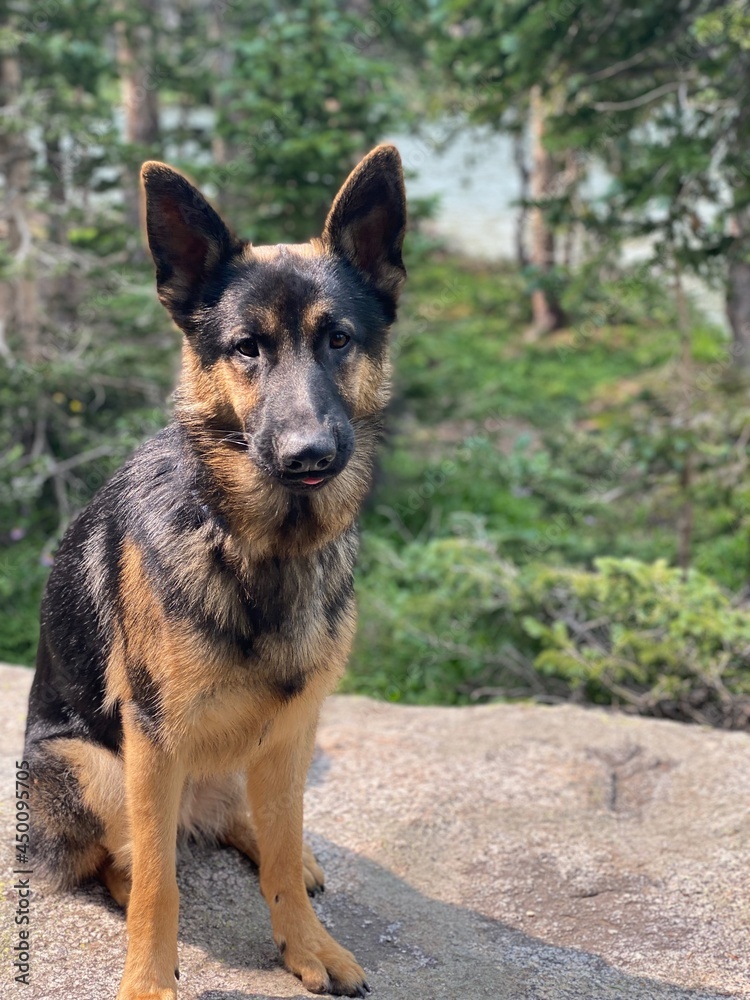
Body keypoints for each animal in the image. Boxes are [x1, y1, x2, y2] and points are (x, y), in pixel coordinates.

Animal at [23, 145, 408, 996]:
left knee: (257, 824)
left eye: (338, 339)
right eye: (246, 348)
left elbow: (283, 859)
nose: (308, 456)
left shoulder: (296, 725)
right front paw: (148, 980)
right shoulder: (154, 741)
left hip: (268, 748)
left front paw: (307, 944)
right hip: (94, 765)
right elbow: (160, 885)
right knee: (125, 857)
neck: (258, 547)